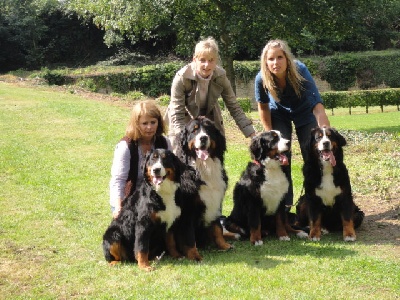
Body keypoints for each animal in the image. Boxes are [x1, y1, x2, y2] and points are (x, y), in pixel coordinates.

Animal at [175, 116, 234, 251]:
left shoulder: (216, 201)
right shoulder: (188, 211)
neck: (205, 168)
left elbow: (217, 228)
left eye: (208, 130)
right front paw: (194, 253)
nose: (203, 138)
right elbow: (189, 236)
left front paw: (224, 245)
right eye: (194, 130)